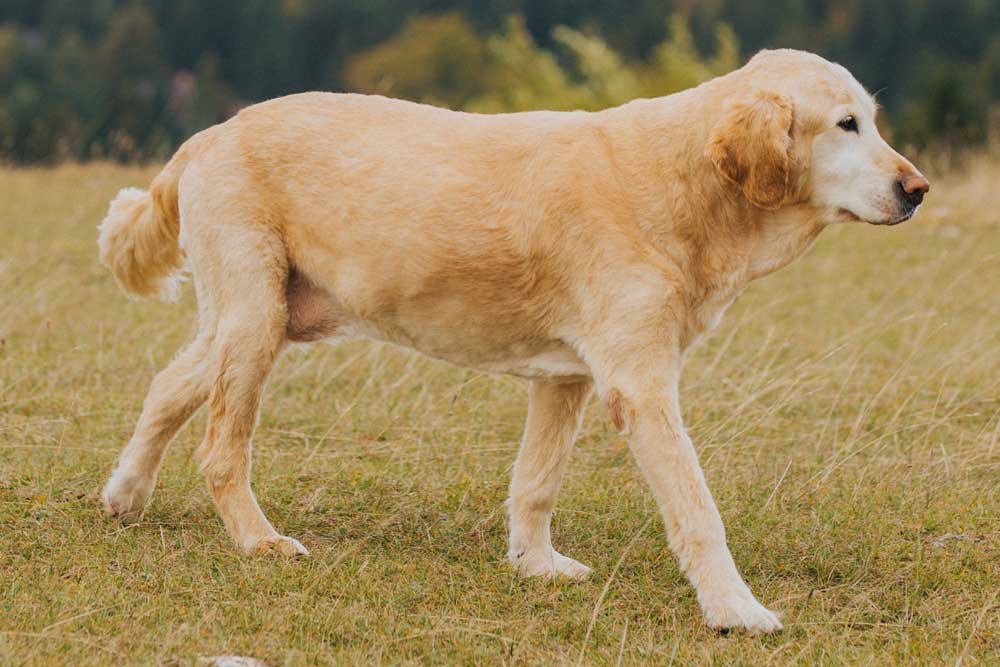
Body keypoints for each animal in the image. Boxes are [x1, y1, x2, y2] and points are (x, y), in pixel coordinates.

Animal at [97, 49, 924, 636]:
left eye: (873, 120)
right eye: (846, 124)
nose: (917, 190)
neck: (683, 181)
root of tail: (211, 131)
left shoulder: (567, 379)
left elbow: (536, 482)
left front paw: (535, 564)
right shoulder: (640, 383)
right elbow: (698, 511)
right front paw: (735, 610)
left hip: (264, 318)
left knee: (167, 386)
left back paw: (125, 494)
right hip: (255, 321)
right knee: (219, 448)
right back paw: (257, 540)